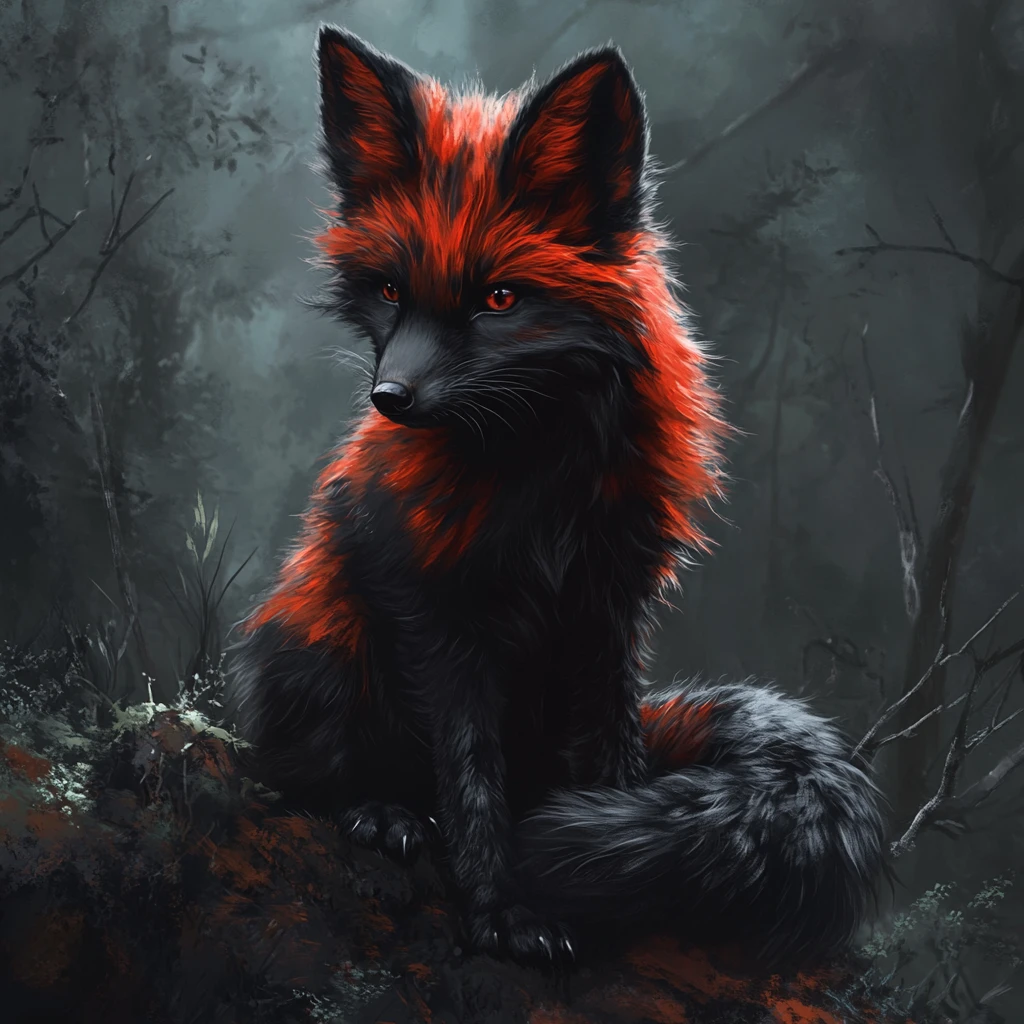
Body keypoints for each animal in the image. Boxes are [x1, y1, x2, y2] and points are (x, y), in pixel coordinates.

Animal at [230, 25, 885, 967]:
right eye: (390, 291)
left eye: (500, 299)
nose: (390, 401)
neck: (541, 479)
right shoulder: (436, 605)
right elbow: (470, 778)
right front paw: (502, 906)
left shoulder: (610, 601)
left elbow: (610, 761)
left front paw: (613, 865)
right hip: (327, 639)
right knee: (295, 772)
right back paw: (382, 812)